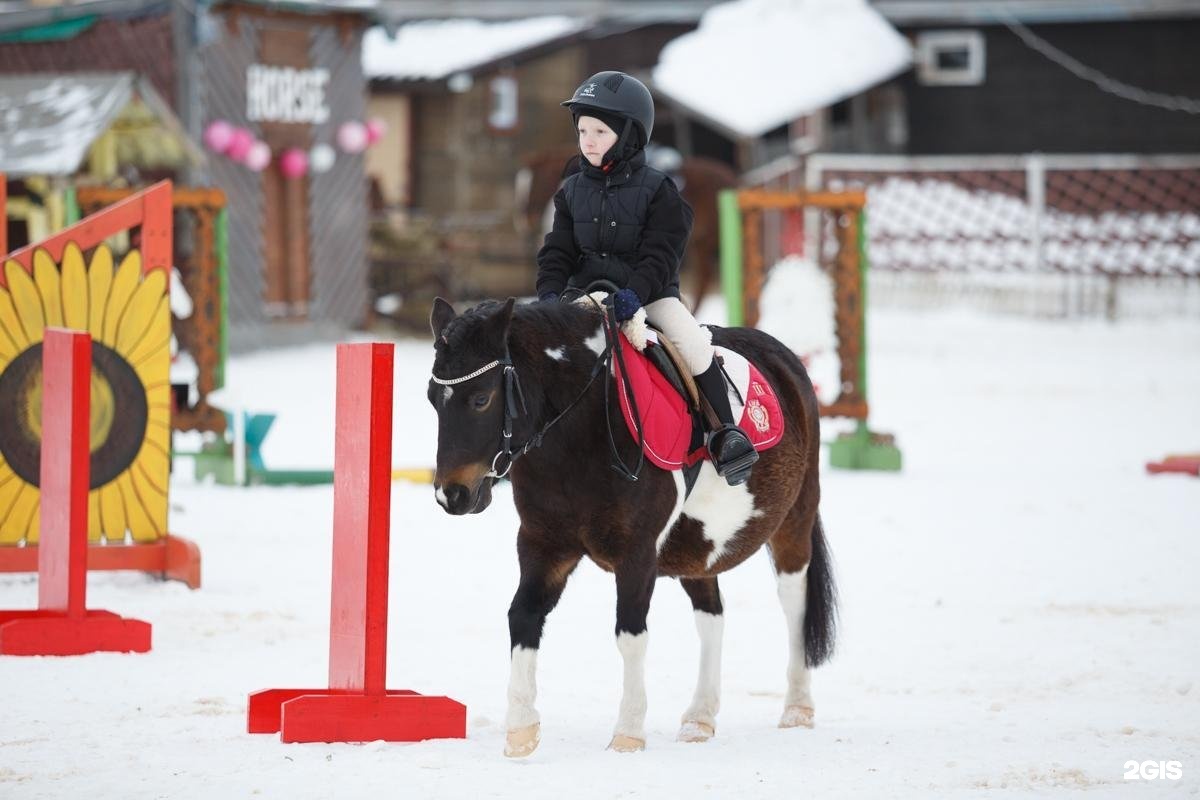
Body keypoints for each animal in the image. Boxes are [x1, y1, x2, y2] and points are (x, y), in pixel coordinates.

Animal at [429, 298, 835, 758]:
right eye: (432, 399)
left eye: (482, 398)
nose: (451, 495)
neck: (579, 435)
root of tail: (785, 358)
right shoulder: (543, 545)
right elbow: (523, 617)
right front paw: (520, 729)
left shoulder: (637, 553)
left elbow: (630, 634)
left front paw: (627, 733)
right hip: (697, 544)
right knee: (711, 615)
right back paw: (699, 718)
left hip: (795, 522)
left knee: (794, 602)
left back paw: (797, 708)